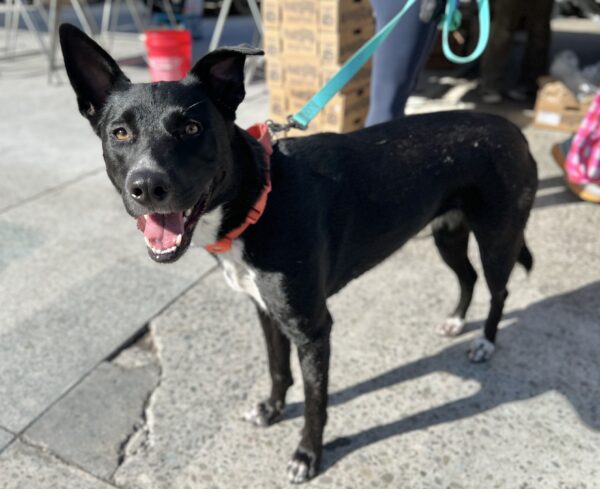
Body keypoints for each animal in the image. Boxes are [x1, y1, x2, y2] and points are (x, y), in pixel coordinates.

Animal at [61, 24, 540, 482]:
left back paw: (485, 341)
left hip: (497, 237)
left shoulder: (313, 329)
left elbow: (315, 401)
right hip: (447, 232)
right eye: (120, 133)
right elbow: (278, 369)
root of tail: (513, 130)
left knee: (499, 289)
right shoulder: (266, 311)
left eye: (192, 129)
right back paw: (457, 320)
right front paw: (272, 411)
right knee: (467, 277)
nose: (146, 186)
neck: (260, 200)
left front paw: (307, 455)